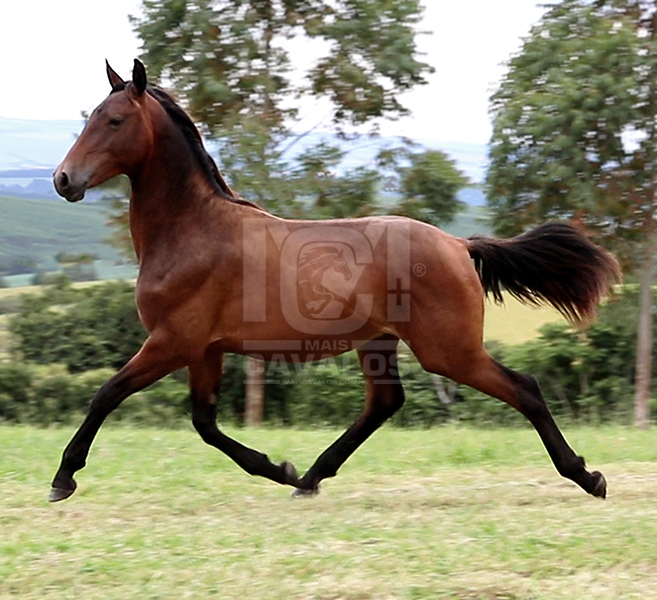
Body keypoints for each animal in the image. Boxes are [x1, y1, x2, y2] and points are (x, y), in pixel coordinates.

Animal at [52, 59, 620, 502]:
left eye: (115, 120)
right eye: (92, 118)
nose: (63, 180)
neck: (193, 230)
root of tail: (459, 245)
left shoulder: (172, 341)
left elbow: (107, 394)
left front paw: (63, 478)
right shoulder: (203, 349)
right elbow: (205, 423)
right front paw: (278, 469)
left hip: (449, 351)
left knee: (523, 388)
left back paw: (587, 477)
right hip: (379, 342)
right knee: (384, 404)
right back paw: (309, 477)